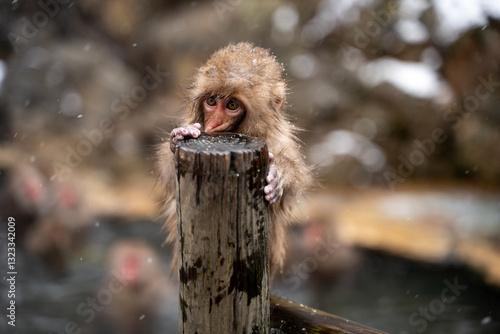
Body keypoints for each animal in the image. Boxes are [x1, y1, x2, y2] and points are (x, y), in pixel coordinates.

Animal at [157, 41, 312, 276]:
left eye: (232, 106)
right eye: (212, 101)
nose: (213, 124)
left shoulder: (280, 141)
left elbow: (295, 180)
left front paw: (279, 177)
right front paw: (178, 138)